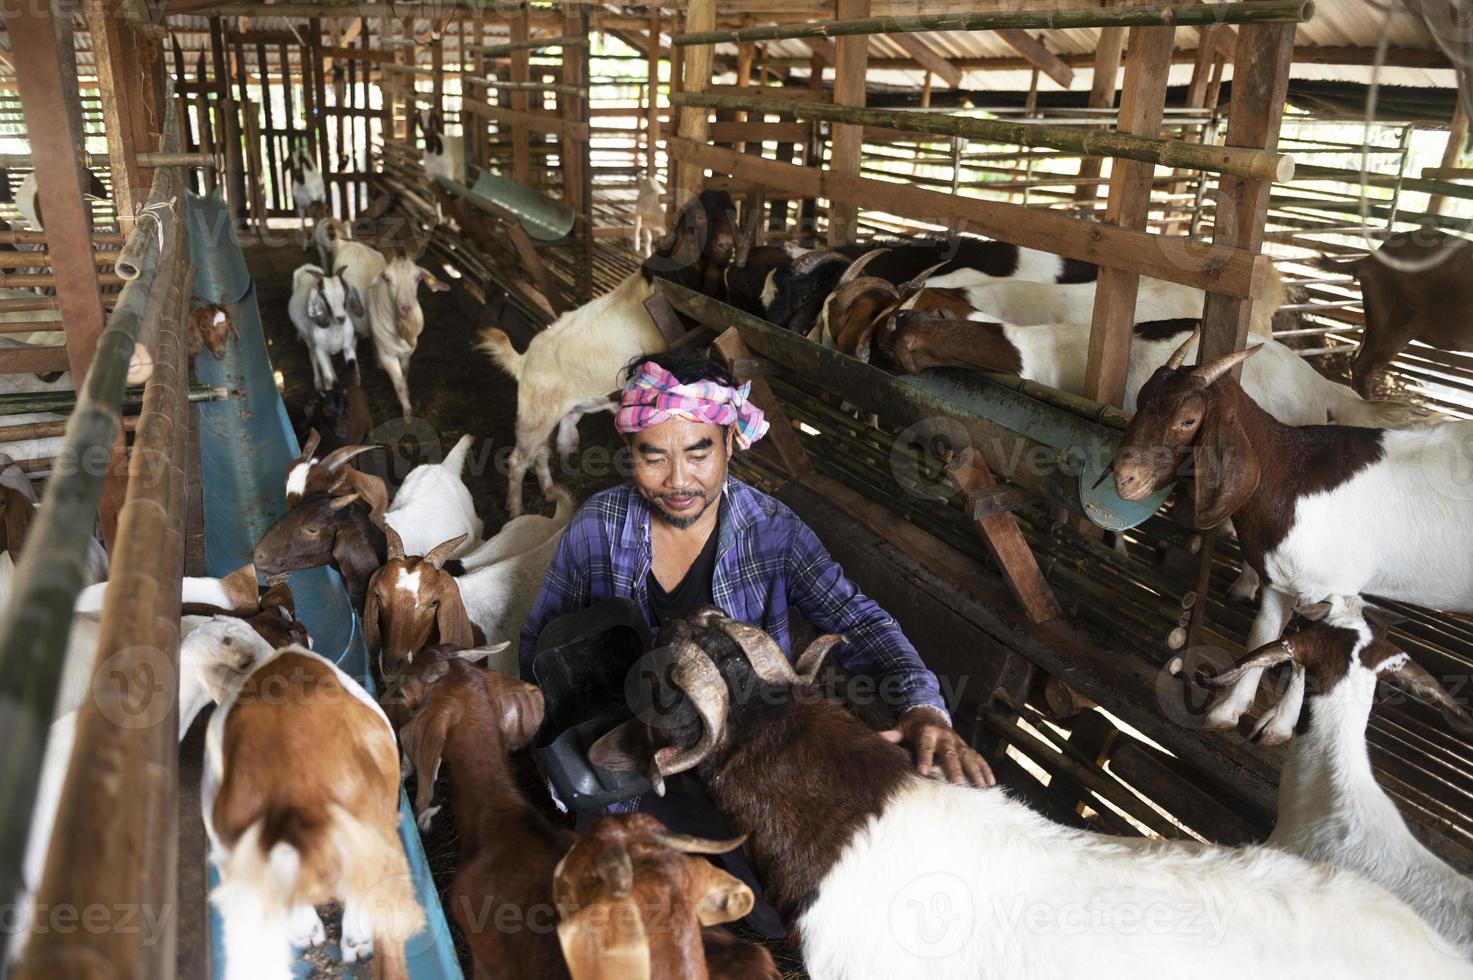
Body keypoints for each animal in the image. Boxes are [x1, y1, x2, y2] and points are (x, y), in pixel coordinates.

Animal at [365, 252, 444, 415]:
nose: (406, 307)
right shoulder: (388, 357)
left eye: (417, 278)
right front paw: (407, 413)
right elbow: (399, 386)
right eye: (387, 278)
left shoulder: (408, 352)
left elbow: (405, 374)